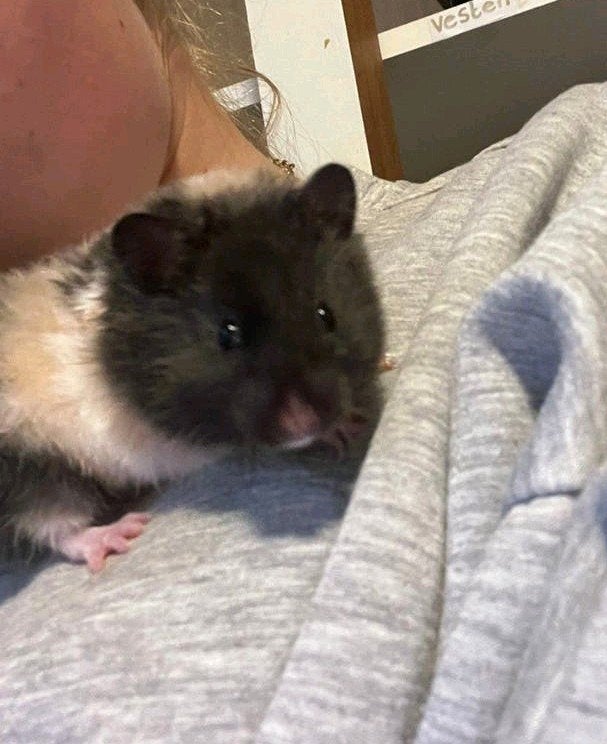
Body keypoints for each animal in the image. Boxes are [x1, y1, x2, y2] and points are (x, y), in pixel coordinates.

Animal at [0, 163, 385, 571]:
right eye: (227, 334)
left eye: (326, 315)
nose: (304, 423)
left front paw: (350, 423)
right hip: (35, 469)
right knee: (53, 526)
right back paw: (120, 535)